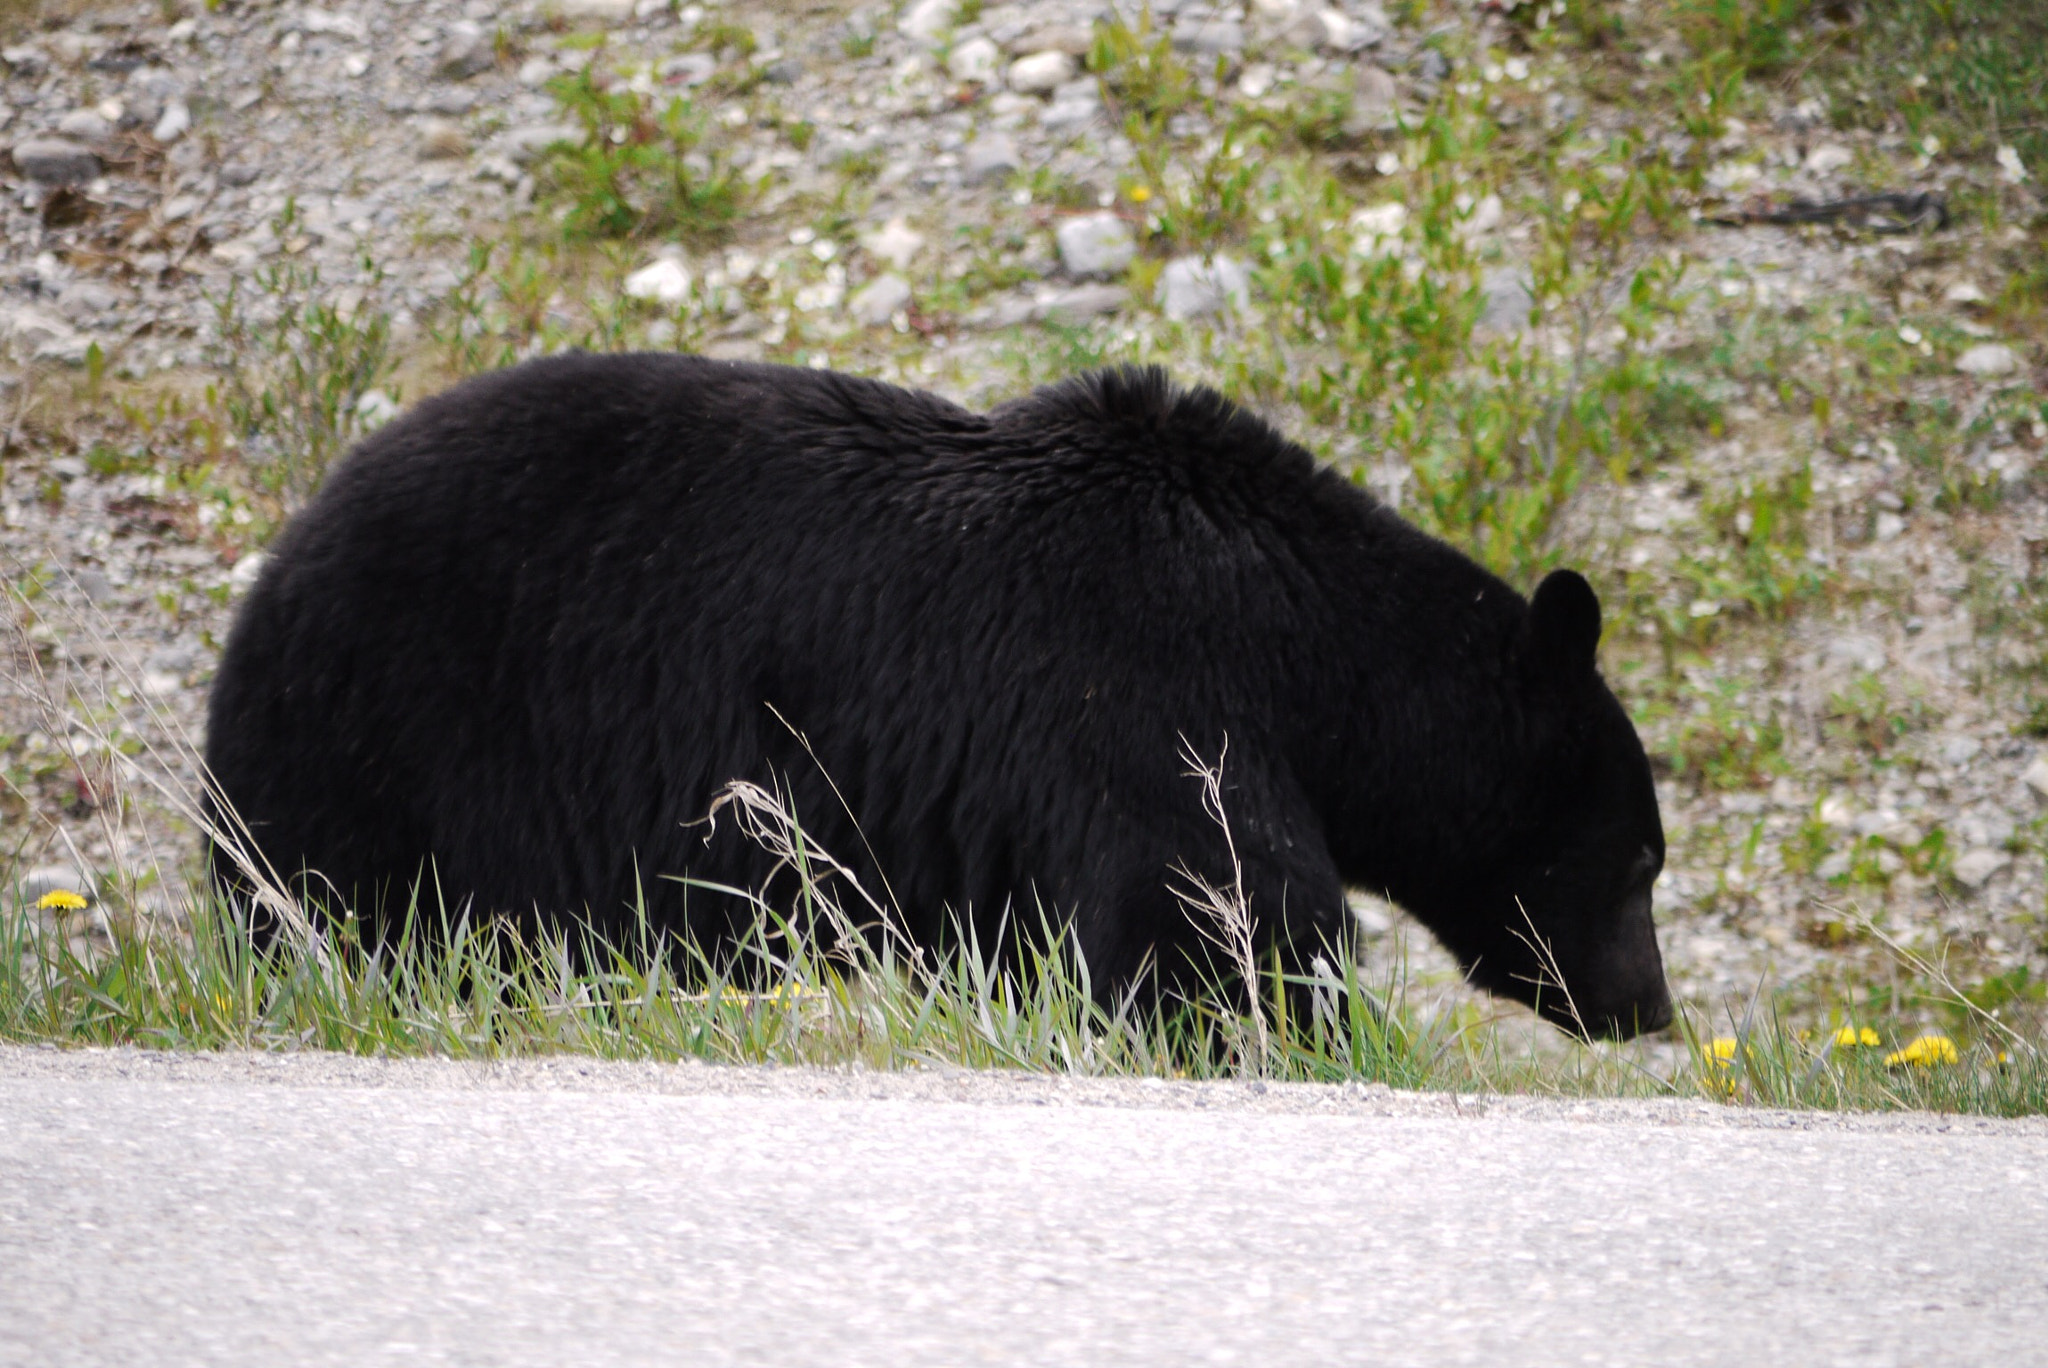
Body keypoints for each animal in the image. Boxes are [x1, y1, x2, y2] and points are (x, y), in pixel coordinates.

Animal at [207, 352, 1671, 1036]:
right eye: (1645, 858)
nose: (1651, 1009)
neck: (1302, 646)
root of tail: (278, 563)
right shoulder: (1142, 699)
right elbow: (1216, 909)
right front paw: (1283, 1018)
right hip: (404, 743)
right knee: (348, 906)